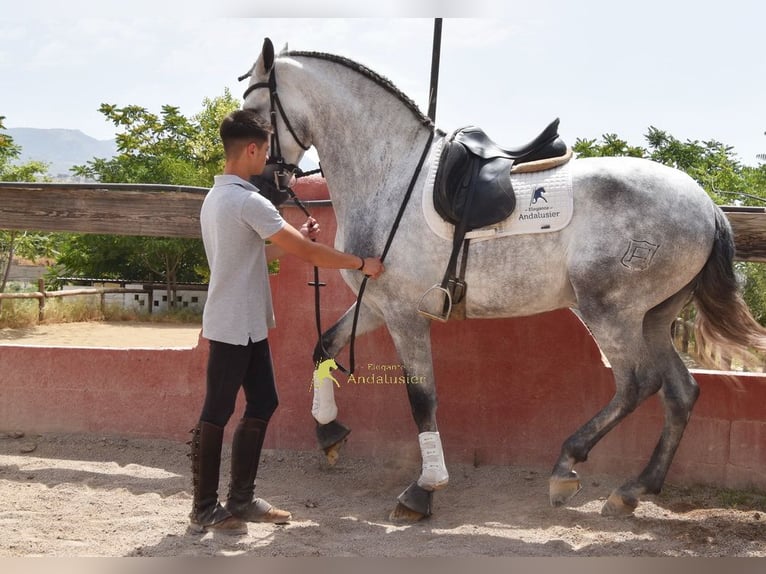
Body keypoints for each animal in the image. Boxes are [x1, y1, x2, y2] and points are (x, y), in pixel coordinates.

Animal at [241, 38, 766, 521]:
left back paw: (567, 465)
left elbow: (421, 398)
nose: (265, 186)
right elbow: (323, 347)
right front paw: (329, 431)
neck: (392, 176)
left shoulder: (405, 315)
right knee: (681, 392)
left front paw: (423, 490)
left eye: (254, 114)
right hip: (654, 317)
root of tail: (706, 204)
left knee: (637, 384)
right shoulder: (375, 305)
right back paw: (632, 490)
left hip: (610, 311)